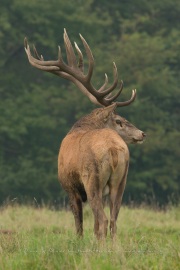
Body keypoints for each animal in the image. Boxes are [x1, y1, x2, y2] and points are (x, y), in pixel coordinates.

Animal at [23, 29, 146, 238]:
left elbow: (79, 224)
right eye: (119, 121)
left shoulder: (69, 186)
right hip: (121, 181)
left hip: (91, 180)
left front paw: (79, 242)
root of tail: (113, 150)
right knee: (113, 220)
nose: (142, 133)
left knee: (103, 220)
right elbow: (94, 225)